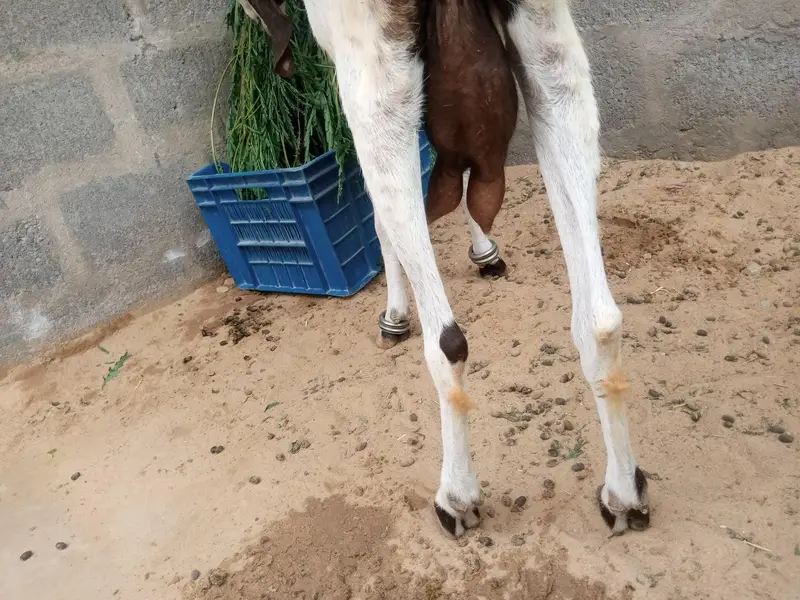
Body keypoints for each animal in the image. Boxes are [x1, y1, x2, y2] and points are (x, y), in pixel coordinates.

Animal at [239, 0, 650, 539]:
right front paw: (486, 252)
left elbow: (382, 216)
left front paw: (394, 315)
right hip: (549, 50)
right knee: (600, 321)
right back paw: (623, 492)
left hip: (378, 78)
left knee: (448, 341)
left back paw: (457, 497)